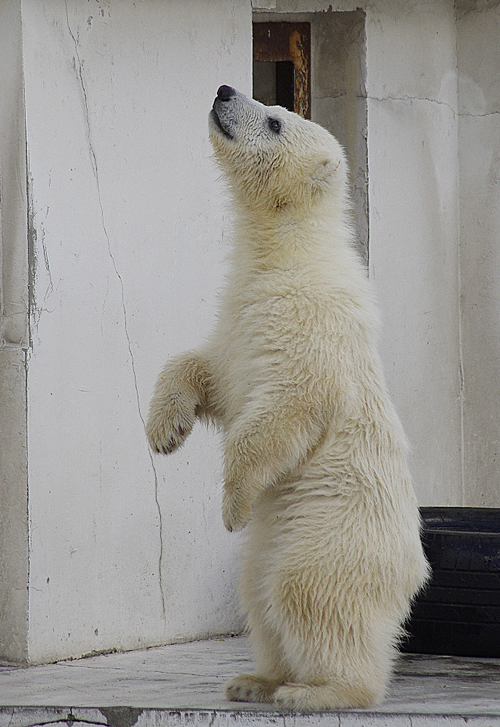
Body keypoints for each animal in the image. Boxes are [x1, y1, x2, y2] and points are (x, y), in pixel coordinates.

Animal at [146, 85, 430, 712]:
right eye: (266, 107)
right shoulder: (239, 317)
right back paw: (255, 678)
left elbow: (281, 411)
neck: (288, 253)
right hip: (278, 540)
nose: (225, 91)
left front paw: (231, 506)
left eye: (275, 120)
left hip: (331, 530)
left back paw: (318, 690)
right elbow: (208, 372)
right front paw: (163, 432)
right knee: (256, 591)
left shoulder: (307, 323)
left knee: (307, 592)